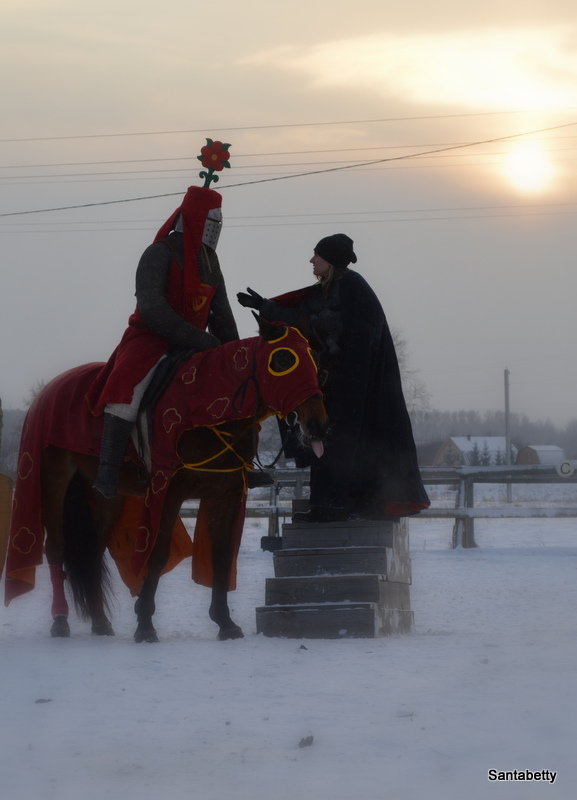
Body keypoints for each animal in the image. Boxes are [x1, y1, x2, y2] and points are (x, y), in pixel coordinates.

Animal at [4, 316, 326, 640]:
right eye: (282, 359)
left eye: (315, 361)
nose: (317, 425)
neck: (206, 412)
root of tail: (49, 391)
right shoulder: (168, 491)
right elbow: (157, 553)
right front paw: (145, 623)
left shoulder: (226, 494)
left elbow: (222, 555)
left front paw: (225, 622)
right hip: (54, 480)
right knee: (55, 548)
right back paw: (60, 620)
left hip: (103, 495)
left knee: (92, 550)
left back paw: (100, 622)